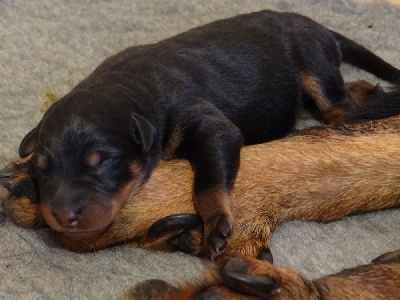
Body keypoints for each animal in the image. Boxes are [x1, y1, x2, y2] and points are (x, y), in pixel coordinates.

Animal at [16, 11, 400, 258]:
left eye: (102, 161)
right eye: (41, 169)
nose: (63, 216)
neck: (131, 86)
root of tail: (319, 27)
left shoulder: (211, 126)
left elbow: (209, 180)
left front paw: (216, 223)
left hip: (313, 62)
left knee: (341, 107)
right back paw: (370, 88)